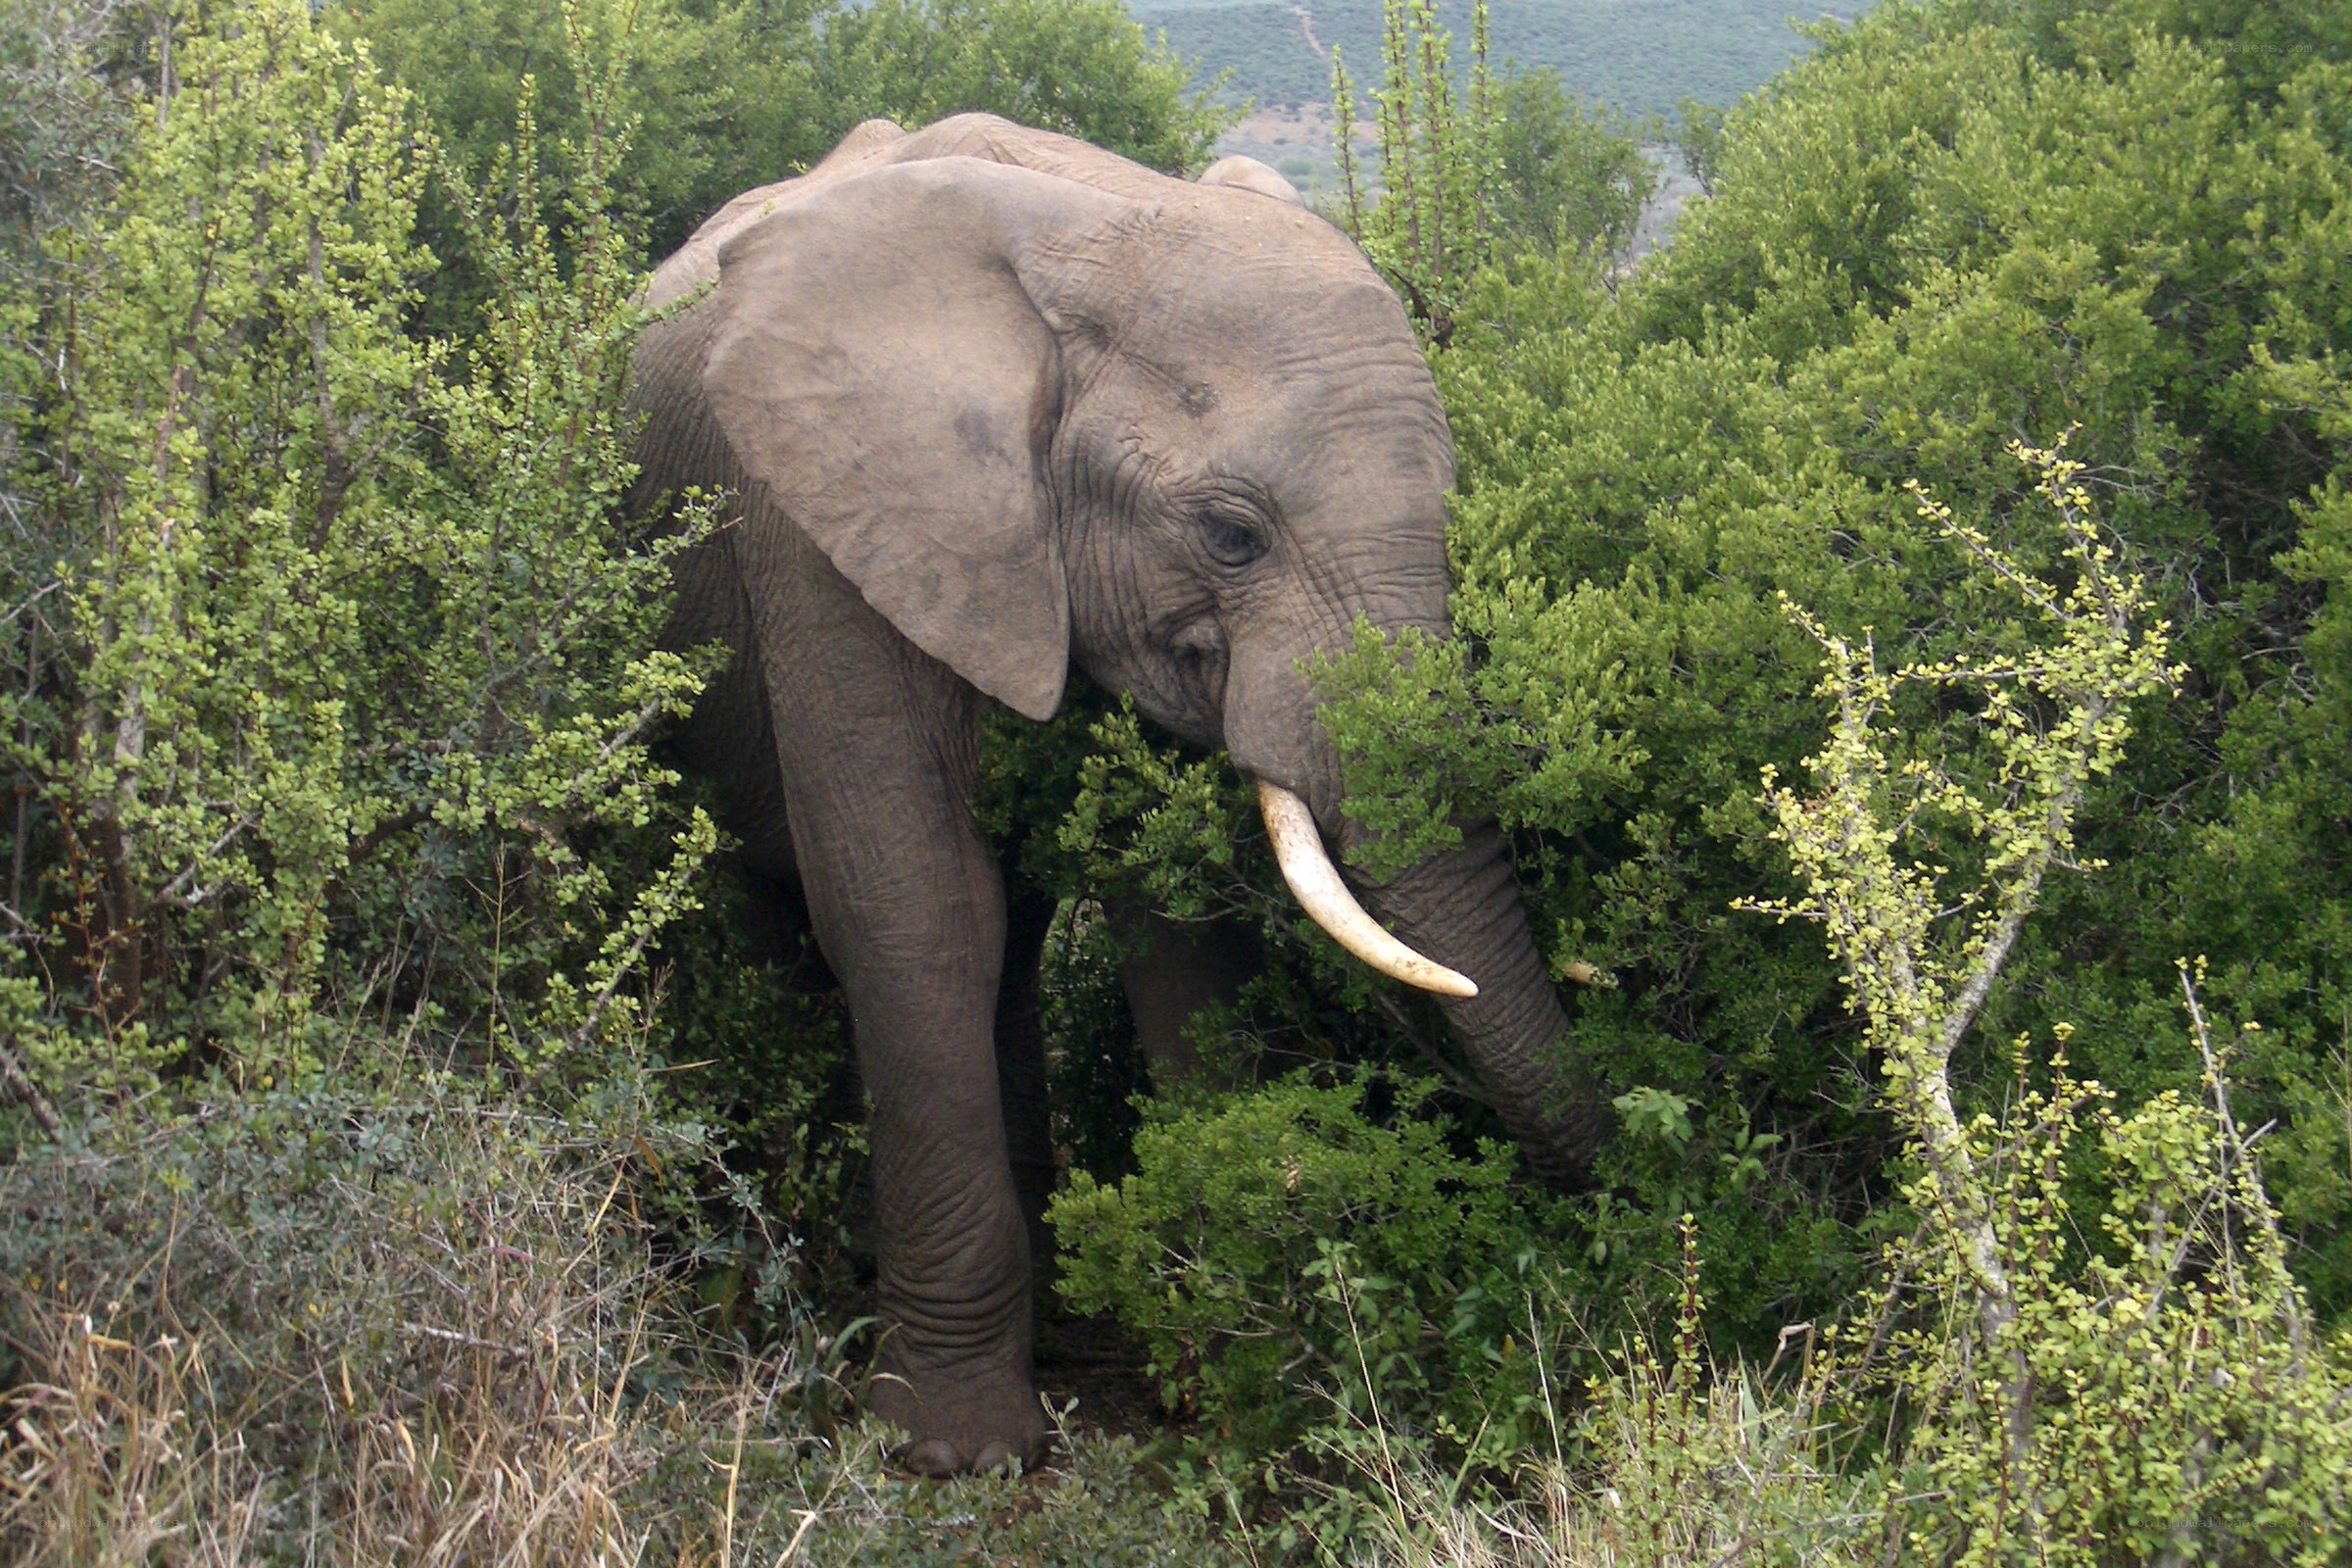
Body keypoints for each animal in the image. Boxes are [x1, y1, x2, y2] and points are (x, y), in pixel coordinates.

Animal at [628, 113, 1611, 1476]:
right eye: (1232, 535)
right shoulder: (816, 529)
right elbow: (915, 912)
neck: (1090, 229)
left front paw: (1238, 1378)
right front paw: (953, 1454)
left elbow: (1177, 928)